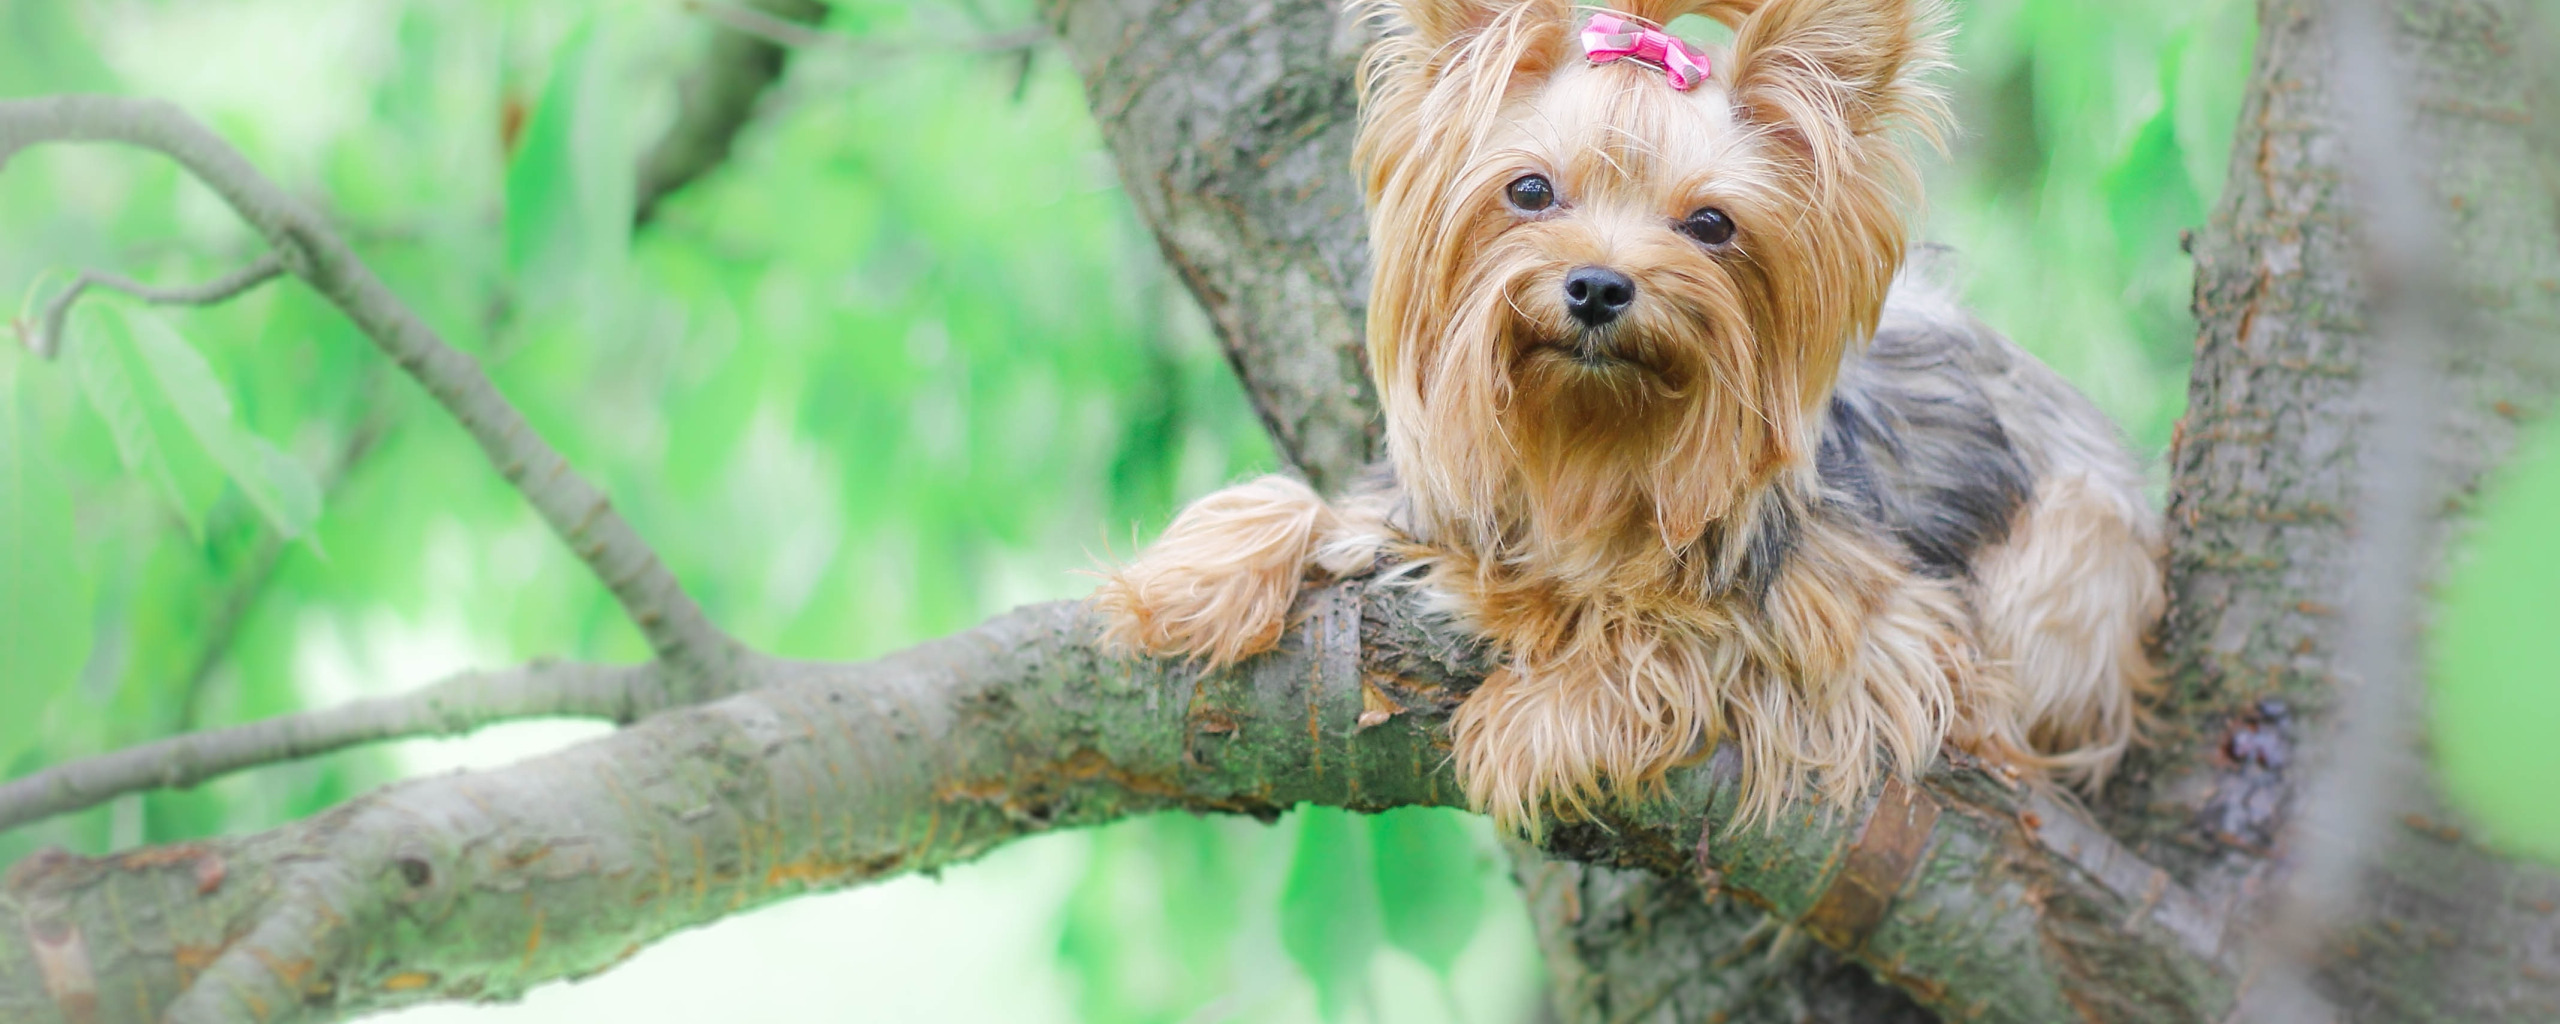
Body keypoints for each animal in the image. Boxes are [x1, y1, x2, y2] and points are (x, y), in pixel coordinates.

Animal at [1085, 0, 2160, 829]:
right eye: (1529, 189)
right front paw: (1197, 573)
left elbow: (1695, 634)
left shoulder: (1883, 632)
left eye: (1712, 224)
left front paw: (1539, 717)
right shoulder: (1440, 502)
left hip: (2080, 551)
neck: (1592, 440)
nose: (1599, 286)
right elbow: (1332, 512)